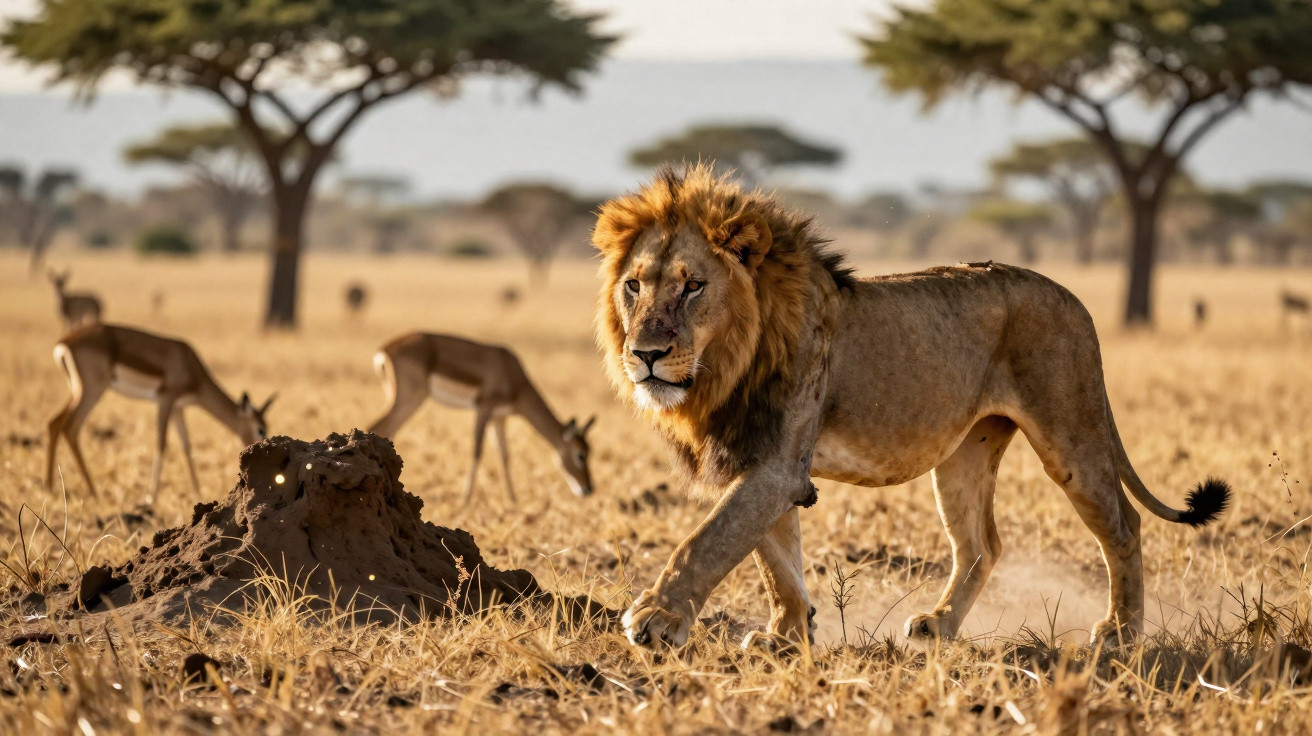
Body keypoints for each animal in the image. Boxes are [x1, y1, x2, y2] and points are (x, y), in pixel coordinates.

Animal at [592, 164, 1230, 650]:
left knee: (1123, 524)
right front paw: (787, 636)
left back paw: (1121, 632)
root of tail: (1074, 298)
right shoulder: (756, 459)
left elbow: (710, 539)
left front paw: (656, 618)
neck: (725, 367)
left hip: (1072, 432)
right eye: (634, 286)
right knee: (981, 544)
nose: (645, 354)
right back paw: (939, 625)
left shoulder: (774, 463)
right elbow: (775, 560)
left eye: (692, 286)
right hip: (966, 452)